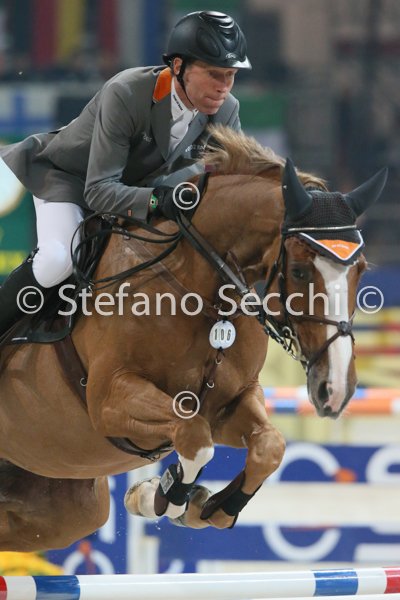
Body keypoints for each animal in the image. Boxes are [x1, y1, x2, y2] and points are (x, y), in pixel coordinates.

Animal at [0, 126, 387, 551]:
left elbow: (269, 446)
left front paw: (206, 507)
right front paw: (162, 495)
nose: (335, 390)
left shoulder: (231, 401)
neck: (201, 289)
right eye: (300, 271)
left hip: (70, 509)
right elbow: (193, 434)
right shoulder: (109, 399)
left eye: (360, 270)